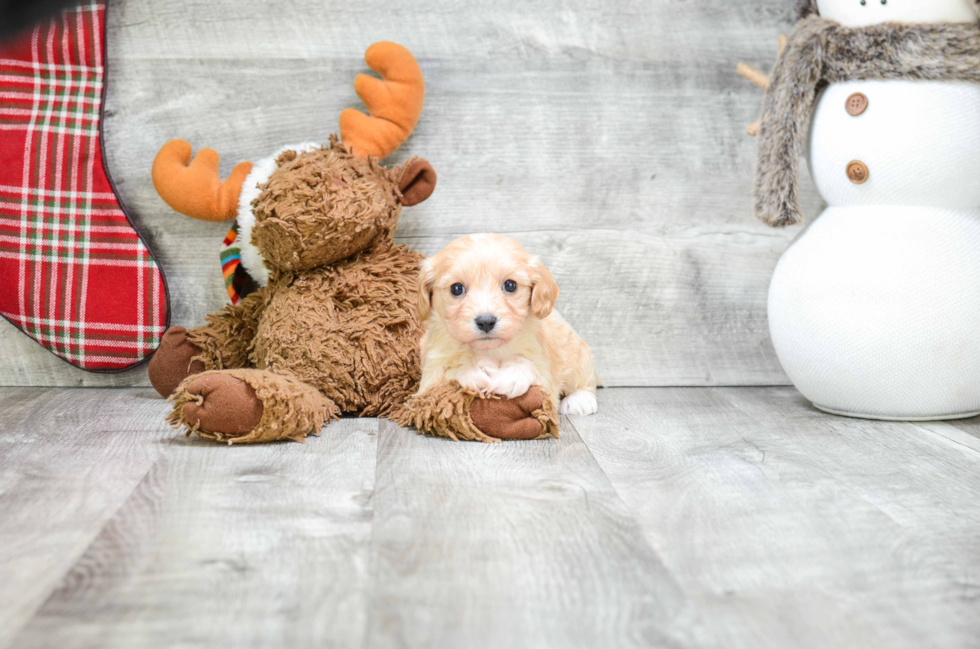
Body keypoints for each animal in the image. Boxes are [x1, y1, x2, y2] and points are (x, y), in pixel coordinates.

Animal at [416, 233, 596, 416]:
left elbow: (528, 364)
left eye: (510, 285)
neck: (491, 349)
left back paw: (579, 400)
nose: (486, 322)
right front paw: (472, 368)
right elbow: (448, 367)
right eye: (456, 288)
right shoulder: (429, 377)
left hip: (577, 355)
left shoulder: (544, 376)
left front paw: (511, 376)